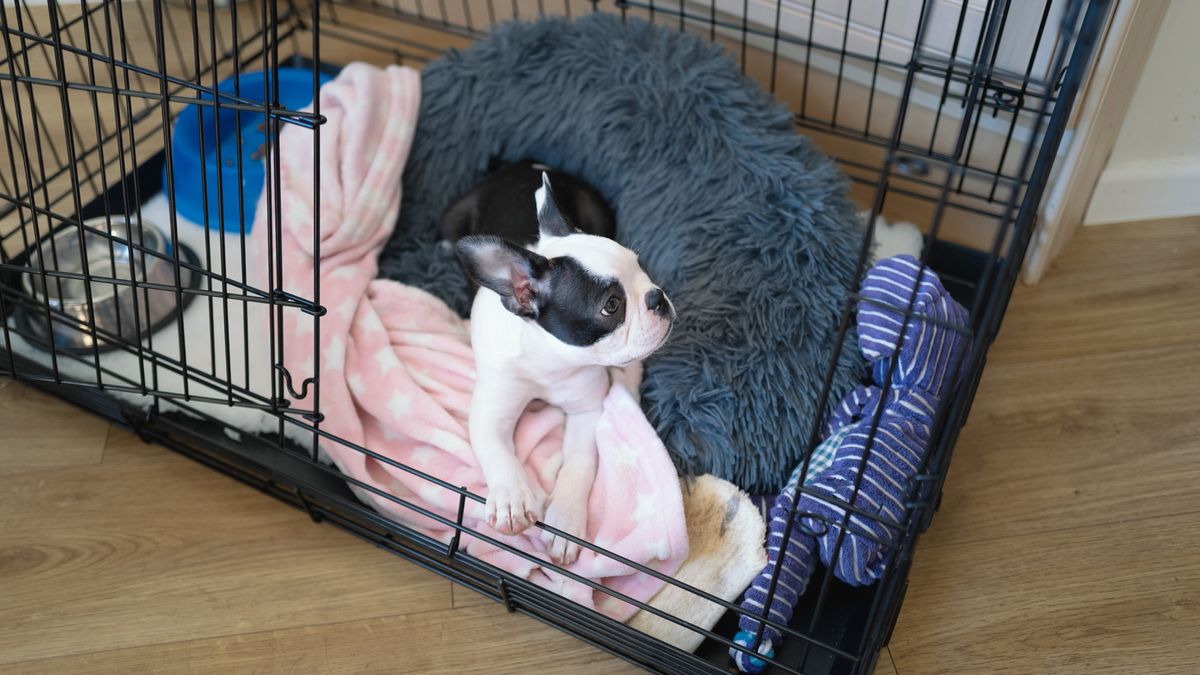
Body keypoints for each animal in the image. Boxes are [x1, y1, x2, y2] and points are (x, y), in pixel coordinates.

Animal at [451, 162, 676, 562]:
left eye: (640, 267)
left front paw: (566, 523)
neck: (549, 359)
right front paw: (511, 498)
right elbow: (497, 452)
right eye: (612, 306)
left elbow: (579, 464)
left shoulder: (586, 411)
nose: (657, 298)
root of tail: (521, 163)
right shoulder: (492, 412)